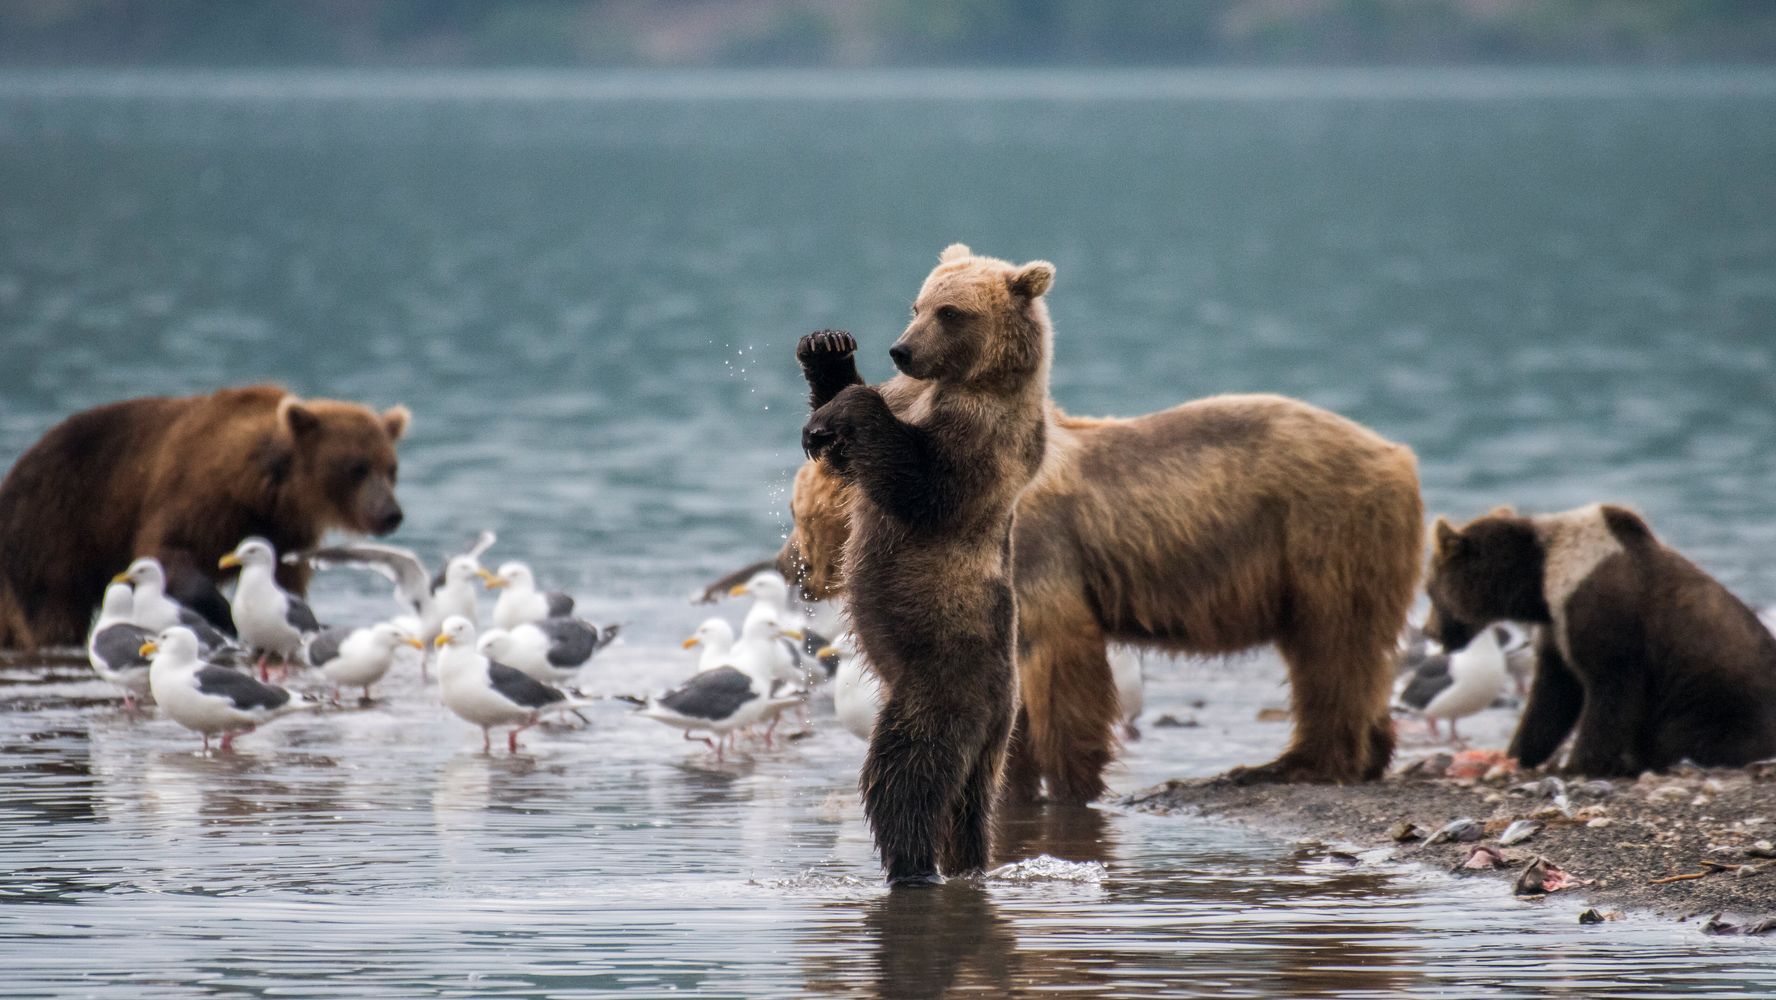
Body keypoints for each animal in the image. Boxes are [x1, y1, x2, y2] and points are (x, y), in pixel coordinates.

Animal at [0, 383, 406, 650]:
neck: (265, 489)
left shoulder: (285, 531)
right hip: (54, 529)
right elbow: (169, 549)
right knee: (51, 611)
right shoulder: (200, 495)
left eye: (391, 468)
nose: (391, 513)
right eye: (357, 468)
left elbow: (285, 583)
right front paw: (223, 615)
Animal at [792, 271, 1427, 799]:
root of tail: (1399, 454)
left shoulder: (1040, 558)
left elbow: (1062, 665)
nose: (795, 570)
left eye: (799, 516)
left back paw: (1294, 763)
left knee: (1333, 648)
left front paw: (1069, 779)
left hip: (1324, 532)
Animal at [802, 245, 1051, 884]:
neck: (964, 380)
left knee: (905, 772)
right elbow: (849, 456)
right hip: (986, 740)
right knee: (967, 805)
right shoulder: (910, 399)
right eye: (917, 305)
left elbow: (922, 485)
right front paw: (827, 349)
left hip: (943, 677)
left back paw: (910, 865)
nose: (901, 350)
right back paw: (964, 861)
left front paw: (848, 402)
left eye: (951, 312)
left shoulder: (984, 438)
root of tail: (1002, 714)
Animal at [1420, 504, 1776, 777]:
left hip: (1717, 706)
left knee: (1689, 735)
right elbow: (1553, 693)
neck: (1538, 581)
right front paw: (1519, 752)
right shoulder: (1557, 624)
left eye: (1429, 588)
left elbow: (1610, 689)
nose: (1429, 631)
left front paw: (1578, 764)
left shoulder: (1599, 609)